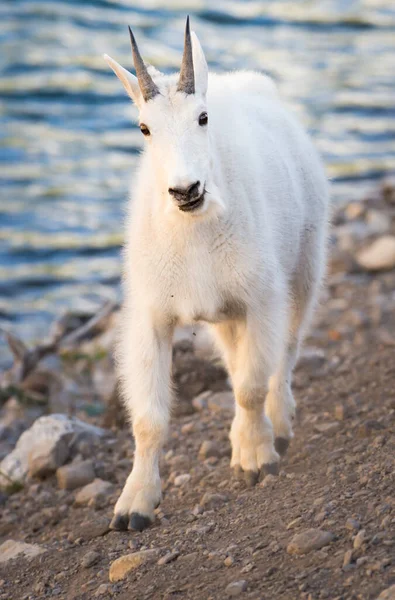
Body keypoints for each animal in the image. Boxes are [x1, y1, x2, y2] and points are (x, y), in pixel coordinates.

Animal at [103, 16, 330, 528]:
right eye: (144, 128)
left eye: (203, 118)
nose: (186, 190)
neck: (193, 232)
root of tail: (257, 84)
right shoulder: (152, 316)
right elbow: (149, 417)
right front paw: (134, 505)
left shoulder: (262, 298)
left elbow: (250, 385)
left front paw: (256, 459)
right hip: (227, 314)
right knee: (234, 356)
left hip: (305, 266)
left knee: (286, 352)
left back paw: (279, 425)